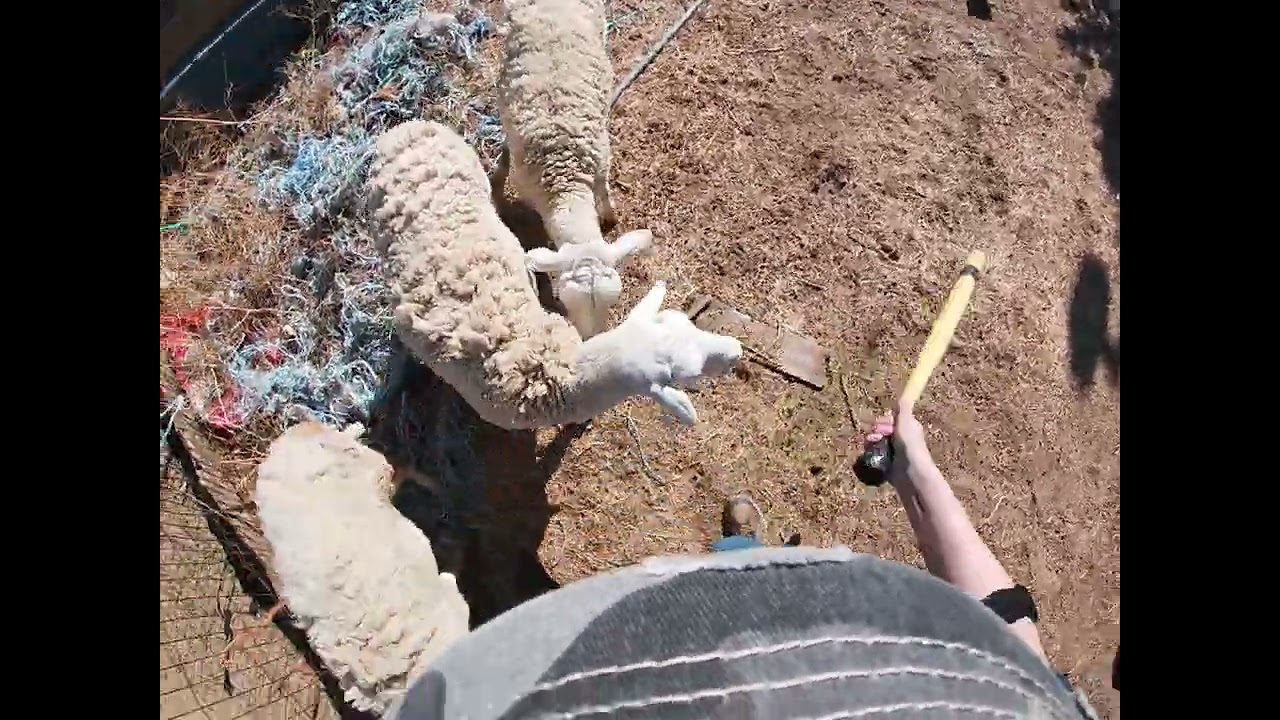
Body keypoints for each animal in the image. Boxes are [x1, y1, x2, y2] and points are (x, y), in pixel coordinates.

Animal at [491, 0, 652, 339]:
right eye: (565, 301)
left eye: (612, 302)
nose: (593, 340)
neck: (565, 178)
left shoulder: (600, 159)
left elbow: (603, 190)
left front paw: (609, 214)